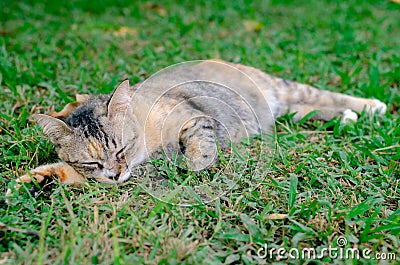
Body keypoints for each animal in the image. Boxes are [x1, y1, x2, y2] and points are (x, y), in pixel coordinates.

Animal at [3, 59, 388, 198]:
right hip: (289, 110)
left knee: (320, 95)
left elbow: (198, 138)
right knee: (307, 110)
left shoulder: (194, 118)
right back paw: (345, 118)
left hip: (286, 90)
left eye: (121, 148)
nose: (115, 174)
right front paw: (33, 181)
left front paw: (197, 161)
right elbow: (64, 174)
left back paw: (369, 106)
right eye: (91, 162)